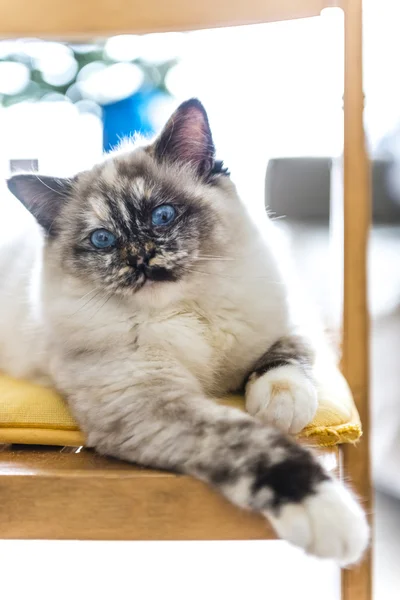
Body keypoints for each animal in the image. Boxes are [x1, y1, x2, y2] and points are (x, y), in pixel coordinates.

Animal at [1, 97, 368, 564]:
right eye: (103, 240)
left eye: (163, 216)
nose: (140, 258)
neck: (188, 311)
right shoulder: (149, 401)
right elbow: (251, 442)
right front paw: (329, 514)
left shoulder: (294, 318)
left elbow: (285, 358)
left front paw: (280, 404)